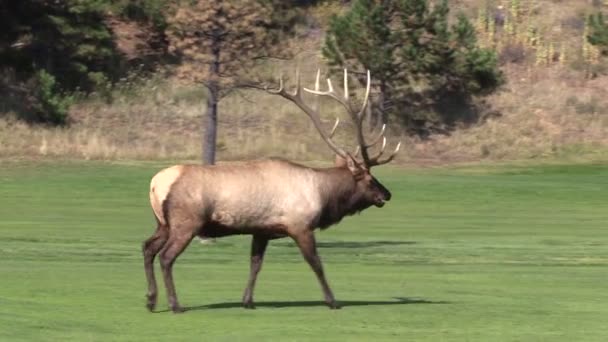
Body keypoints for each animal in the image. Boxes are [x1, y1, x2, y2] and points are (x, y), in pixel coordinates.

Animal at [142, 69, 400, 312]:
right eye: (370, 179)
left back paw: (151, 300)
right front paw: (333, 301)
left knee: (148, 248)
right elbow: (316, 263)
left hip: (163, 223)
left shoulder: (262, 230)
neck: (323, 195)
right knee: (166, 256)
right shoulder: (300, 226)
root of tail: (155, 183)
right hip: (187, 222)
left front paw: (248, 301)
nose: (387, 194)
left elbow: (255, 264)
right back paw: (175, 304)